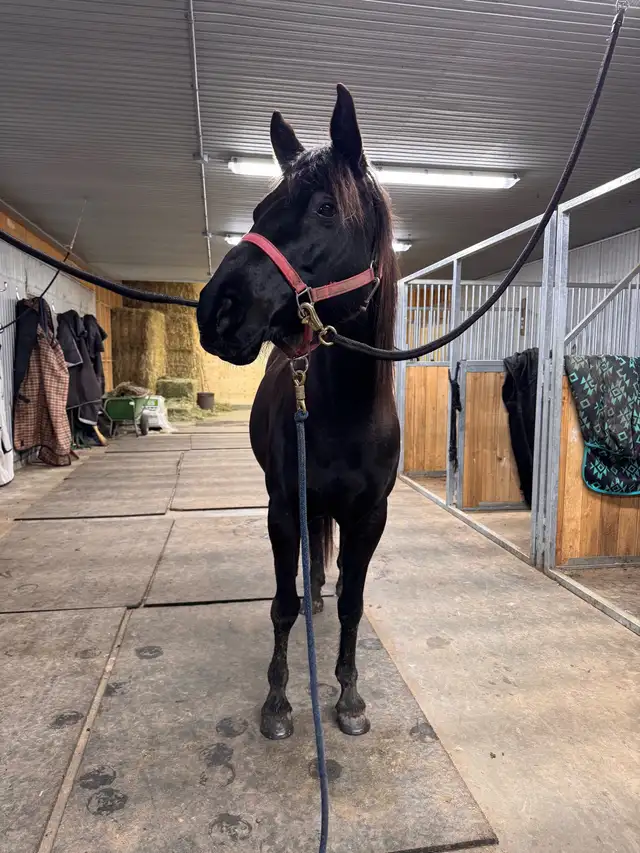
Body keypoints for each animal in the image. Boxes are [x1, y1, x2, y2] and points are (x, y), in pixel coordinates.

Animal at [197, 84, 400, 741]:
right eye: (261, 207)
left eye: (326, 208)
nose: (218, 309)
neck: (344, 414)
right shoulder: (284, 506)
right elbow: (282, 603)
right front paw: (279, 701)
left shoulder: (369, 518)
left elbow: (354, 603)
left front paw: (350, 698)